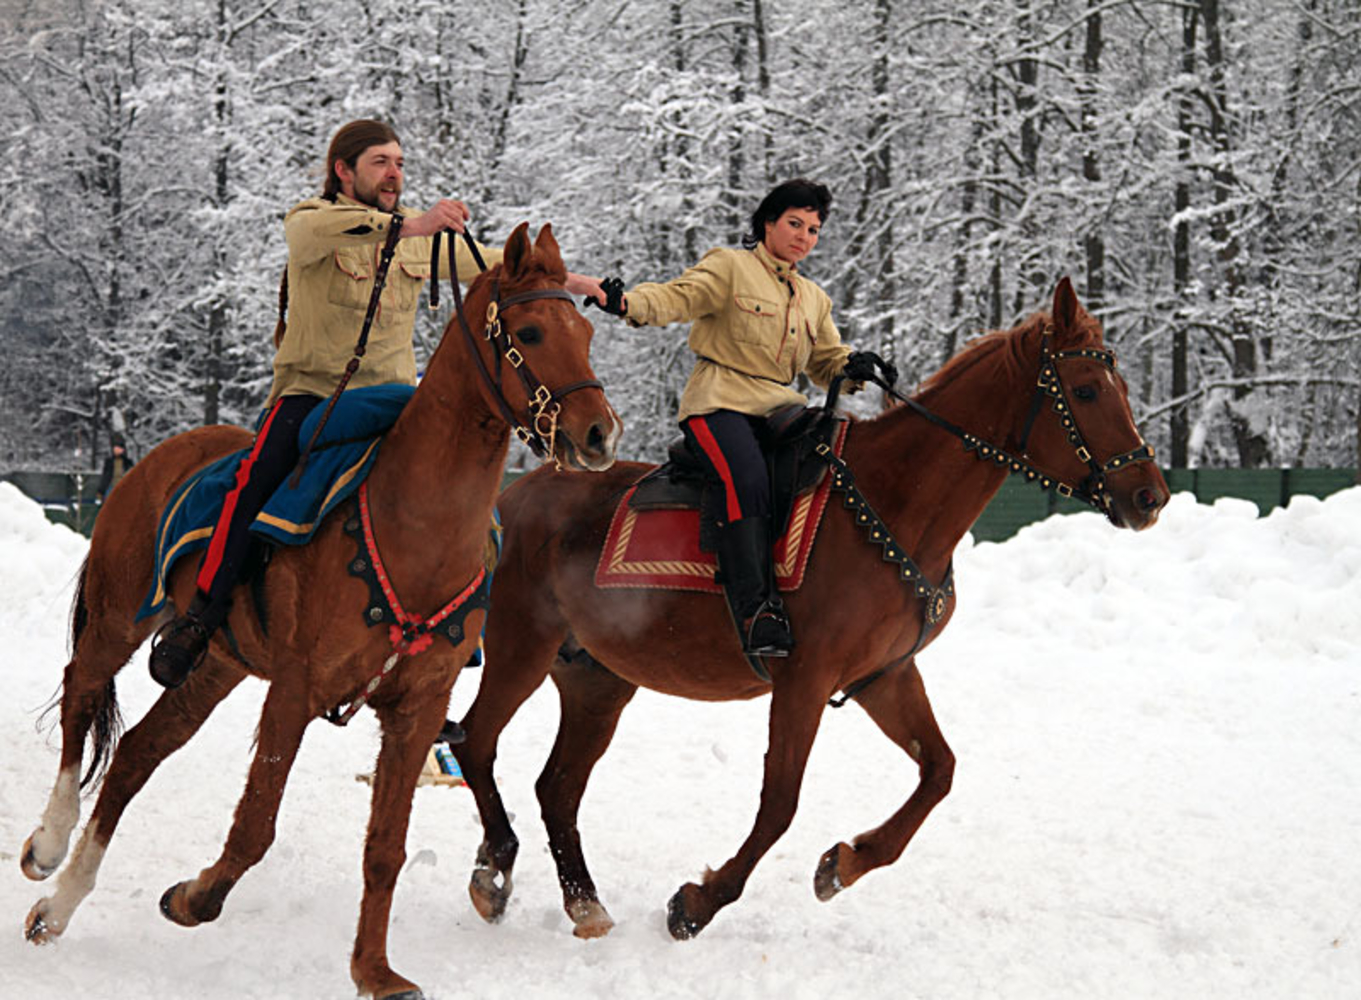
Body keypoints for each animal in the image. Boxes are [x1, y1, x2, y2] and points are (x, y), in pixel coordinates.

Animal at [18, 223, 623, 995]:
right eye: (530, 331)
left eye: (586, 330)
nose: (599, 433)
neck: (413, 525)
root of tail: (157, 458)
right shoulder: (296, 689)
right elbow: (254, 828)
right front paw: (192, 896)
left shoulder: (416, 707)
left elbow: (385, 849)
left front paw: (375, 970)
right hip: (120, 617)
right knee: (81, 696)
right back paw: (48, 845)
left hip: (217, 664)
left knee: (133, 756)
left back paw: (59, 908)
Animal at [454, 277, 1170, 941]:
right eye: (1086, 391)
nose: (1149, 496)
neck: (892, 505)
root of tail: (509, 500)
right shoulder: (804, 677)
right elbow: (780, 801)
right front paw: (698, 903)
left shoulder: (883, 675)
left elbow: (938, 771)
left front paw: (846, 862)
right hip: (521, 650)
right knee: (474, 740)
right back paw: (495, 871)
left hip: (598, 680)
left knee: (556, 786)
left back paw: (583, 901)